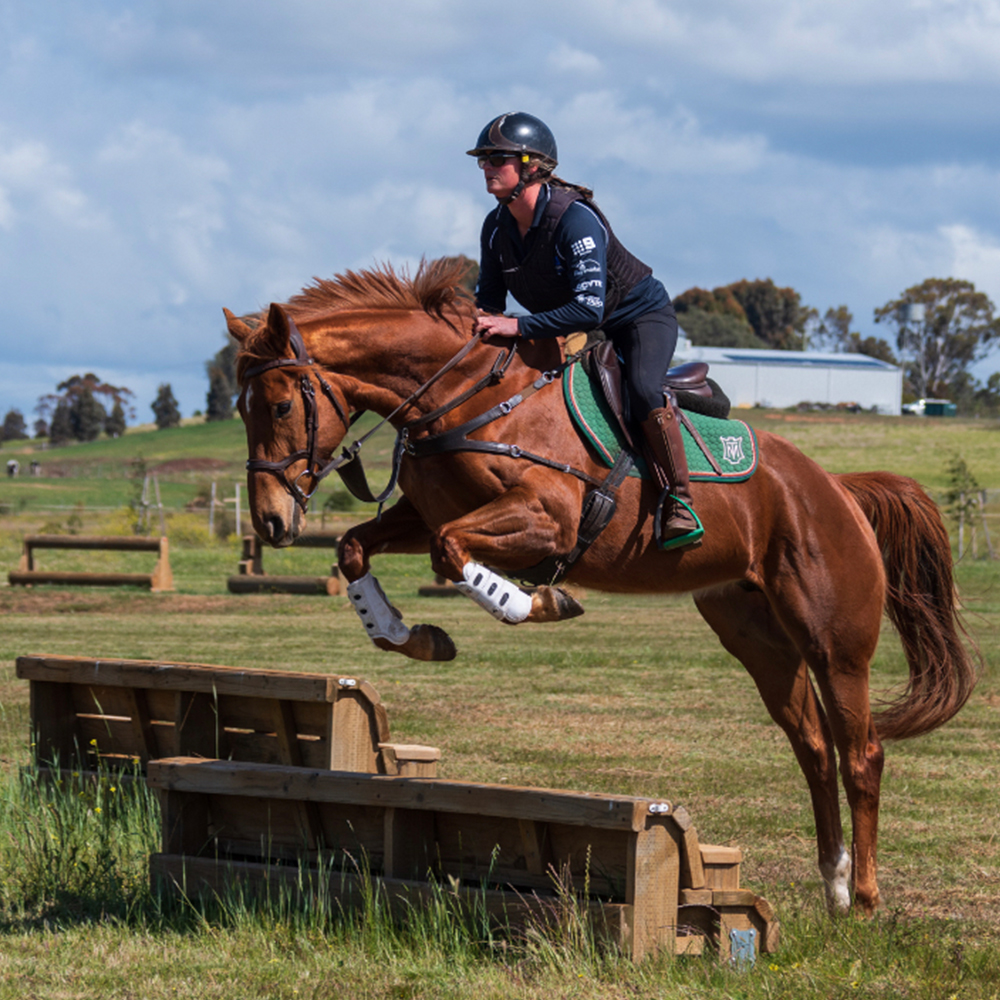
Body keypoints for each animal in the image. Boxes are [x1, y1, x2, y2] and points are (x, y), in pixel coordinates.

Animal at [226, 256, 977, 918]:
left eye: (282, 404)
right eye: (241, 408)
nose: (271, 520)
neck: (465, 395)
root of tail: (839, 490)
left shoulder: (546, 519)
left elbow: (453, 552)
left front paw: (535, 601)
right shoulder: (424, 512)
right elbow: (357, 547)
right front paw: (413, 636)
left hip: (833, 641)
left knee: (861, 755)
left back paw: (868, 901)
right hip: (760, 639)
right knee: (816, 751)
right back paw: (835, 887)